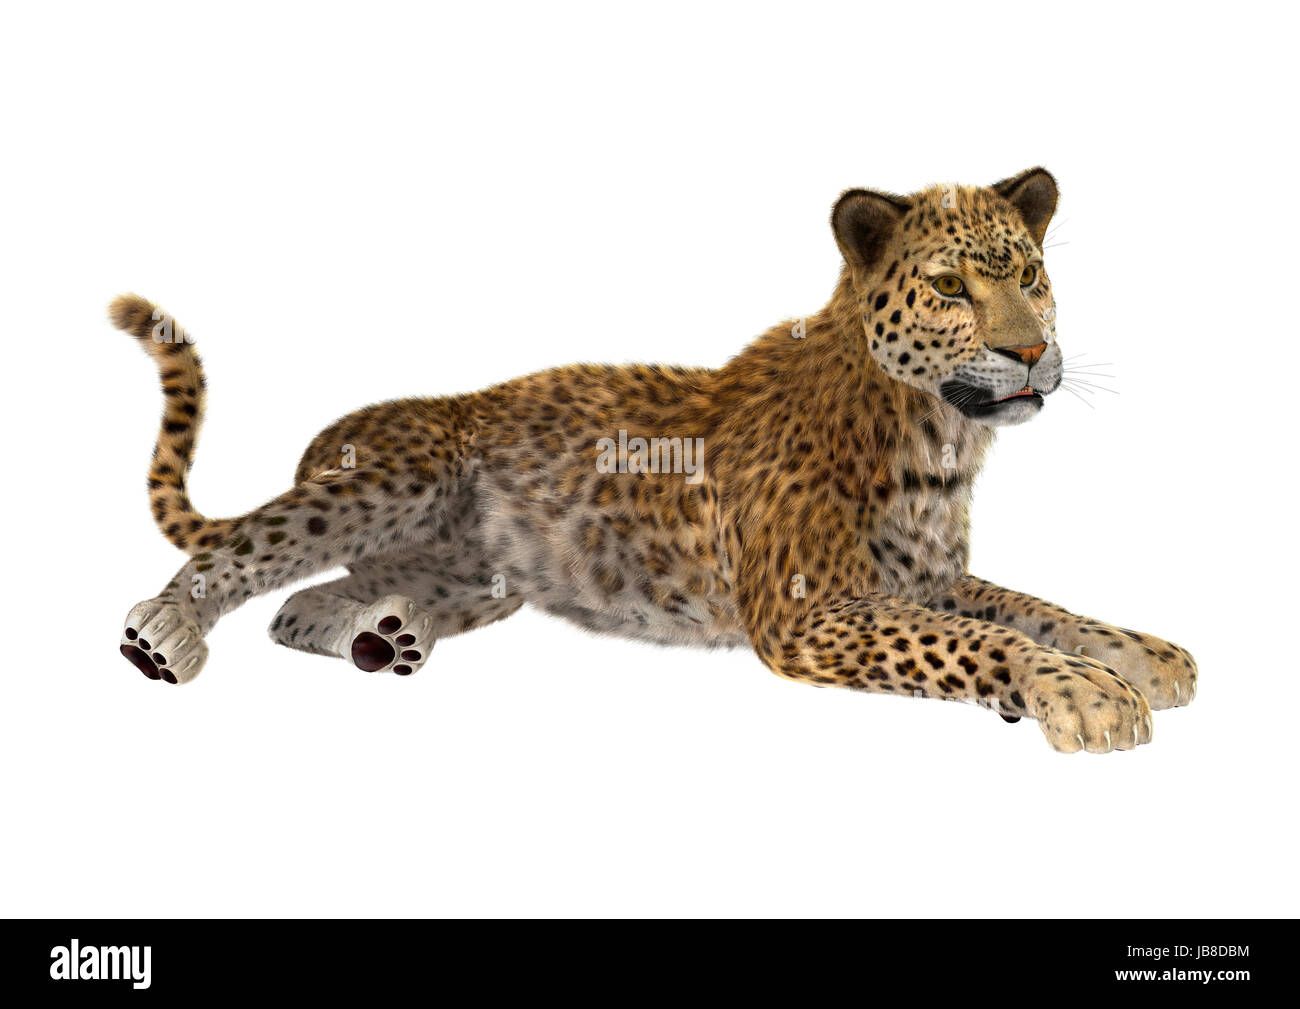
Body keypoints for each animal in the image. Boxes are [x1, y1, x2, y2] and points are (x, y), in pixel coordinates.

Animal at [112, 166, 1196, 753]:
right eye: (948, 287)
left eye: (1032, 276)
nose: (1031, 351)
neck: (937, 440)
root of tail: (345, 430)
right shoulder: (806, 613)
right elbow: (978, 641)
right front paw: (1086, 695)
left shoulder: (929, 577)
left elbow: (1036, 608)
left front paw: (1146, 656)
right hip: (388, 479)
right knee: (245, 551)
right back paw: (164, 635)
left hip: (477, 576)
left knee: (305, 603)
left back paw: (384, 636)